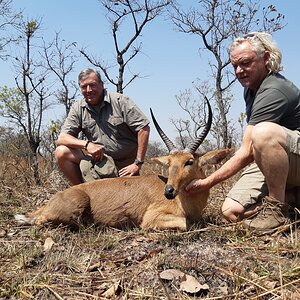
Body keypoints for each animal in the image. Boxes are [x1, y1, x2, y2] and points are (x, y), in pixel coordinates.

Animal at [14, 99, 232, 231]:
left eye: (189, 161)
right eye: (169, 163)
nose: (169, 191)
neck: (187, 201)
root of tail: (51, 201)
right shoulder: (151, 219)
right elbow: (186, 223)